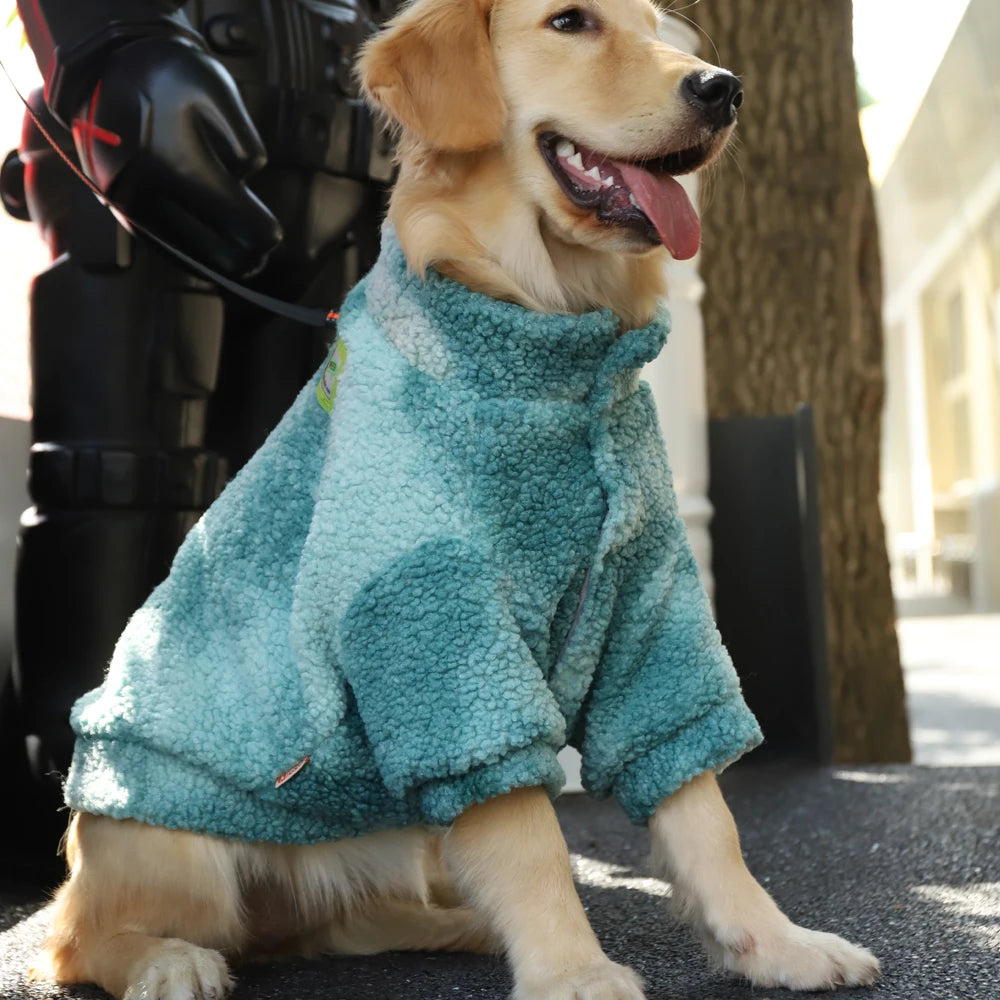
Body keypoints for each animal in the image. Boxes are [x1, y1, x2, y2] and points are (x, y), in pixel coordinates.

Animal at [27, 1, 880, 1000]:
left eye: (659, 27)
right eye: (570, 21)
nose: (722, 88)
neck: (556, 347)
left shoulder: (651, 602)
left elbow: (705, 811)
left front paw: (774, 944)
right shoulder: (431, 618)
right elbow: (528, 834)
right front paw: (572, 970)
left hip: (399, 844)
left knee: (343, 921)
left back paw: (454, 926)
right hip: (167, 835)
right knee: (82, 937)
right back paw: (167, 958)